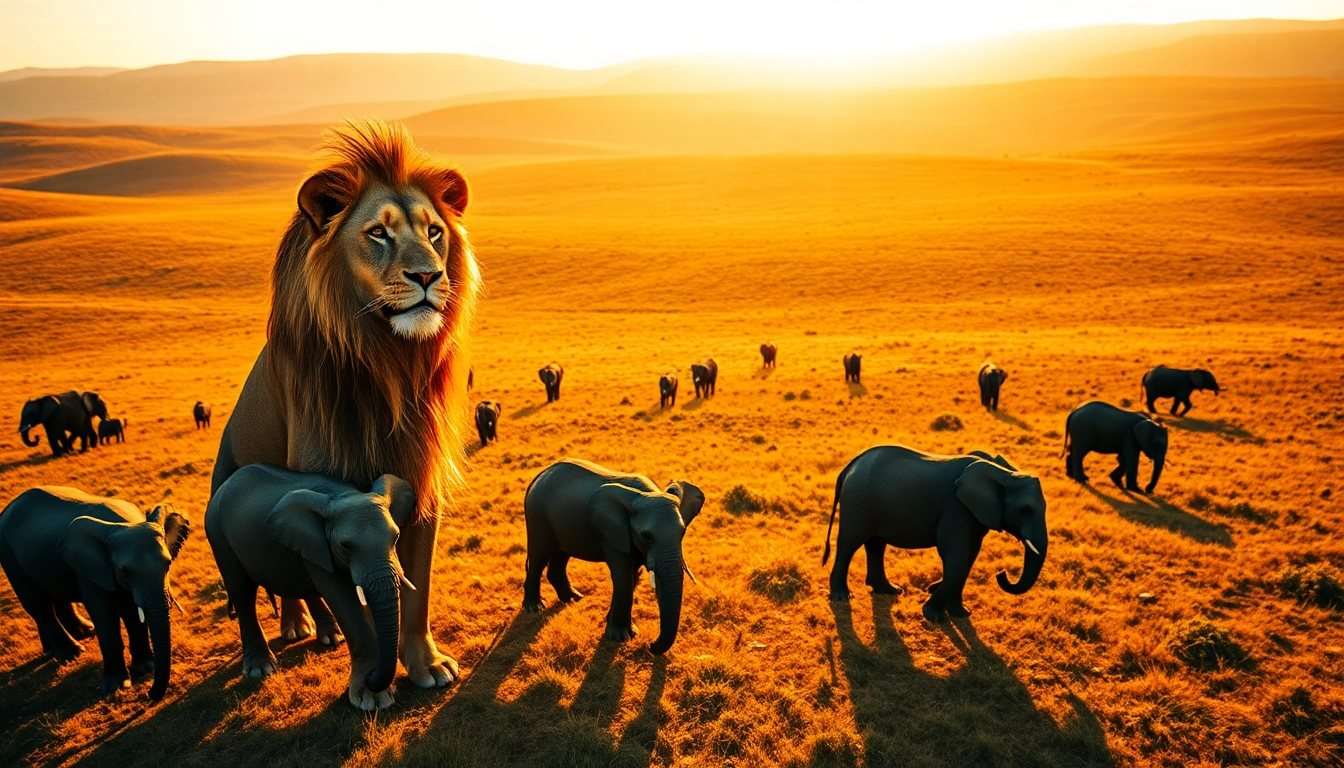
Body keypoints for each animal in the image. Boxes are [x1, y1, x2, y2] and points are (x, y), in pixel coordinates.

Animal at [0, 487, 190, 700]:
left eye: (168, 564)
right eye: (126, 571)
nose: (150, 694)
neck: (124, 525)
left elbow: (132, 611)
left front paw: (146, 668)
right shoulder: (91, 566)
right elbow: (103, 612)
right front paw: (117, 686)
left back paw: (71, 640)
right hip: (8, 552)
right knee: (38, 605)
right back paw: (72, 655)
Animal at [205, 464, 417, 711]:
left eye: (397, 537)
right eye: (346, 545)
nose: (371, 678)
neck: (343, 494)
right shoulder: (321, 543)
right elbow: (342, 599)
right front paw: (372, 700)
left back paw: (332, 638)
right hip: (218, 535)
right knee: (242, 594)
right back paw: (260, 669)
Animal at [522, 459, 704, 655]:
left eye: (682, 532)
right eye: (646, 535)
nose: (650, 645)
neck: (646, 494)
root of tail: (540, 475)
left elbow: (632, 576)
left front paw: (617, 627)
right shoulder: (612, 531)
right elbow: (623, 576)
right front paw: (621, 637)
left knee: (561, 555)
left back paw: (573, 598)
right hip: (537, 514)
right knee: (539, 557)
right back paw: (534, 608)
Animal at [822, 446, 1047, 623]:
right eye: (1025, 509)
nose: (1001, 573)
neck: (1005, 474)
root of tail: (851, 465)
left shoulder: (974, 514)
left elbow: (968, 558)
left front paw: (960, 613)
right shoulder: (956, 508)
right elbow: (955, 559)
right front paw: (934, 616)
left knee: (876, 544)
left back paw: (889, 589)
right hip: (857, 502)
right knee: (849, 544)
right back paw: (842, 596)